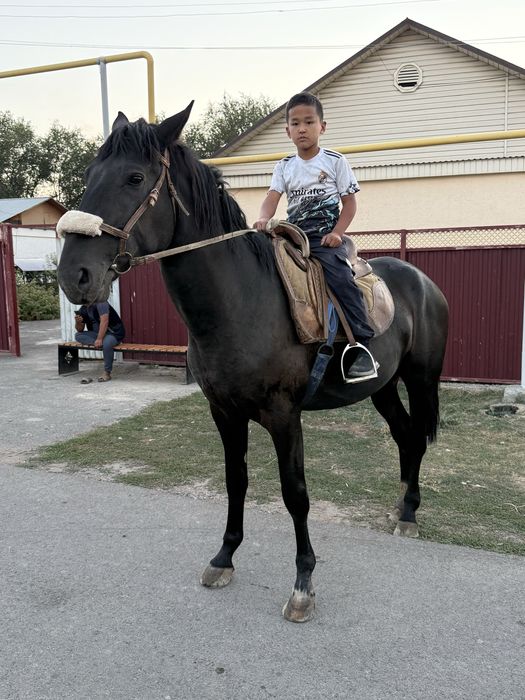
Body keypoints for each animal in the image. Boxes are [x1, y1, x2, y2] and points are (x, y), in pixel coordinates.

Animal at [57, 103, 449, 623]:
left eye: (135, 177)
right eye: (88, 175)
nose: (73, 275)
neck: (241, 302)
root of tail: (422, 281)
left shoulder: (284, 416)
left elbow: (295, 493)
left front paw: (303, 583)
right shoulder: (224, 412)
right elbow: (235, 481)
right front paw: (224, 557)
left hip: (421, 379)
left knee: (418, 435)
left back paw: (411, 511)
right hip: (381, 386)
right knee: (405, 435)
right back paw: (404, 507)